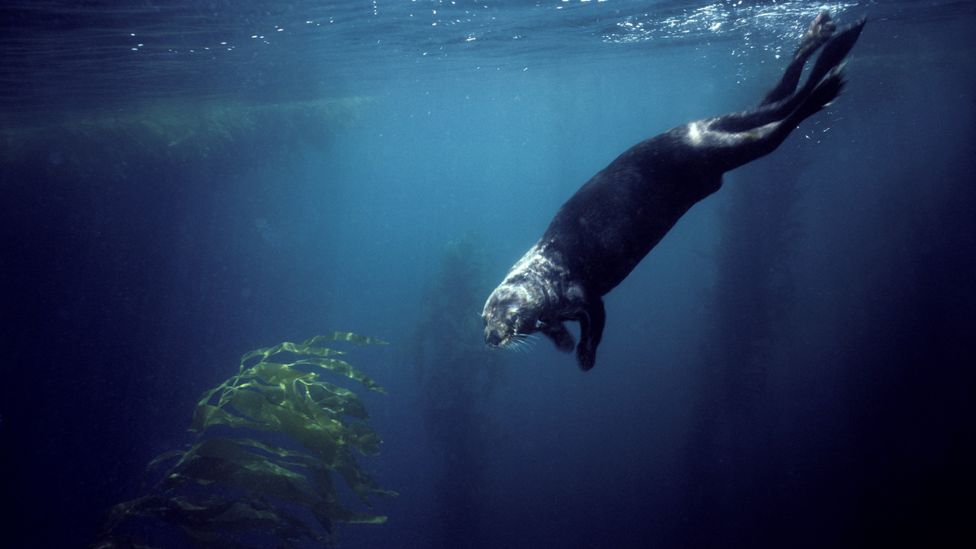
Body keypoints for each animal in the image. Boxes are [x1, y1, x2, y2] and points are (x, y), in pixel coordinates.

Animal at [482, 12, 865, 370]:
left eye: (507, 313)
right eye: (484, 317)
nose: (490, 337)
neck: (546, 273)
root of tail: (696, 130)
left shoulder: (583, 294)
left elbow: (597, 320)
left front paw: (585, 356)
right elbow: (557, 329)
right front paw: (563, 342)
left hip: (715, 152)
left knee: (777, 122)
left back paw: (826, 85)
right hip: (717, 146)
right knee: (772, 101)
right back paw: (823, 38)